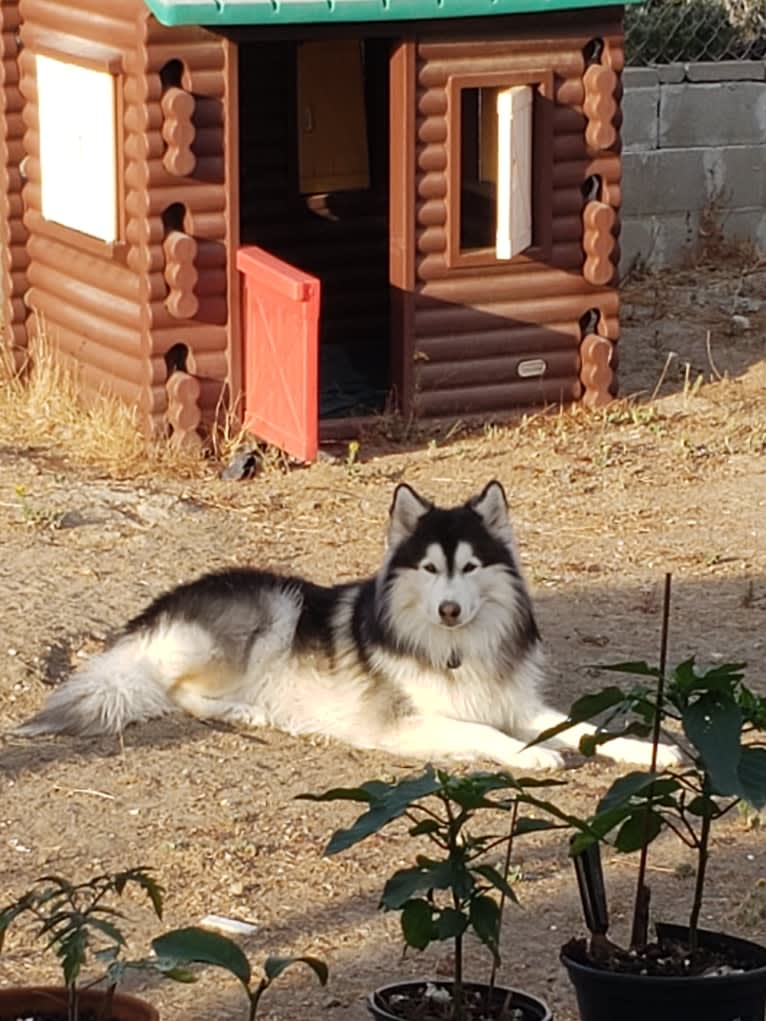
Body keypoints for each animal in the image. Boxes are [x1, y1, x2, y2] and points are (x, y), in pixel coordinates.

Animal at [15, 481, 682, 767]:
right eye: (430, 569)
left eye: (468, 567)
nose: (449, 608)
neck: (451, 646)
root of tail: (156, 610)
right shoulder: (407, 722)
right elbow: (485, 734)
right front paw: (533, 756)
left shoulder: (515, 702)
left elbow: (584, 728)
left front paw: (646, 748)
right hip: (267, 614)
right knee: (179, 693)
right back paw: (251, 713)